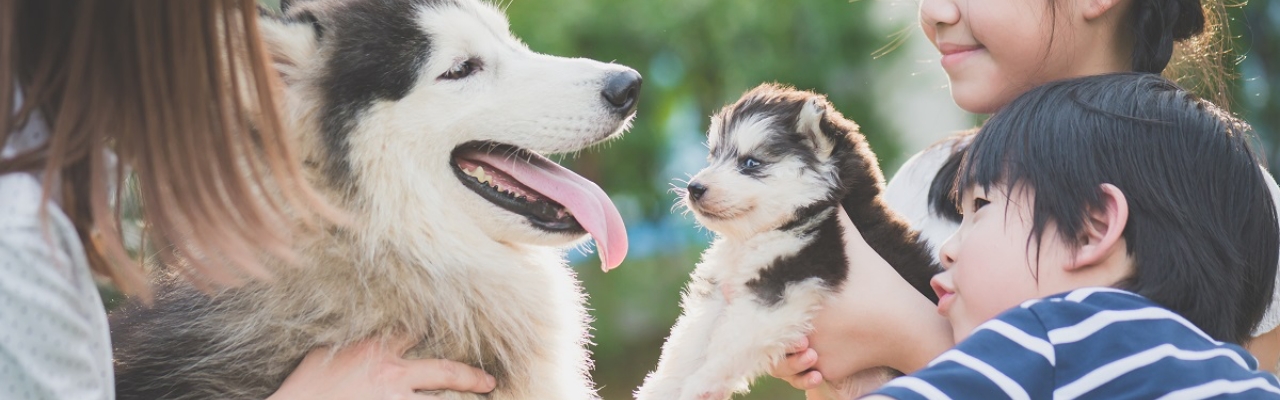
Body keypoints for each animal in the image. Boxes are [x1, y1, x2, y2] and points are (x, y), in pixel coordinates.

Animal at [634, 84, 936, 400]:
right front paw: (662, 389)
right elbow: (687, 342)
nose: (694, 188)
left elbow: (731, 340)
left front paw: (701, 383)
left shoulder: (789, 276)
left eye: (750, 163)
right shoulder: (719, 289)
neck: (765, 232)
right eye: (713, 157)